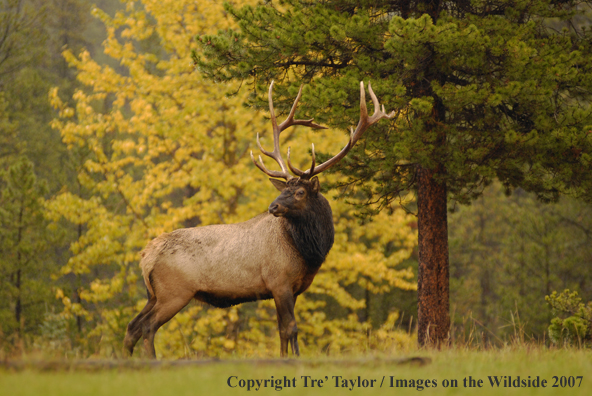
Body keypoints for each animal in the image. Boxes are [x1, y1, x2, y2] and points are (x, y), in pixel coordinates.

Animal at [124, 81, 394, 358]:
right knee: (147, 327)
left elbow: (282, 331)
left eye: (299, 192)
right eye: (285, 190)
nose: (273, 206)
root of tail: (146, 256)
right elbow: (292, 328)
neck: (308, 253)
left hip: (153, 294)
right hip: (174, 292)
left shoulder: (289, 288)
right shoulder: (279, 281)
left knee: (132, 326)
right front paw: (295, 359)